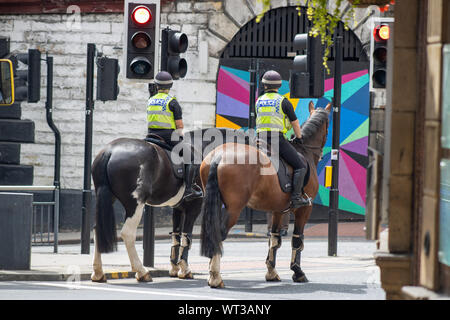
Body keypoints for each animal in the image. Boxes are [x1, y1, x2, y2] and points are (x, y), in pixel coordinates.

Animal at [89, 127, 248, 282]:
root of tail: (110, 151)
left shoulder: (178, 209)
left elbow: (176, 236)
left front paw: (175, 268)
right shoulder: (194, 208)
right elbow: (186, 236)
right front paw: (185, 269)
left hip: (108, 198)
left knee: (98, 229)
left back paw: (98, 272)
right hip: (135, 204)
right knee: (127, 233)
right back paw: (141, 271)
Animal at [200, 102, 330, 288]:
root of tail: (219, 155)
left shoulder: (278, 210)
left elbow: (274, 239)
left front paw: (271, 272)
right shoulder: (304, 210)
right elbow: (297, 240)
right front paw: (298, 272)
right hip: (234, 209)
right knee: (220, 233)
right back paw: (215, 276)